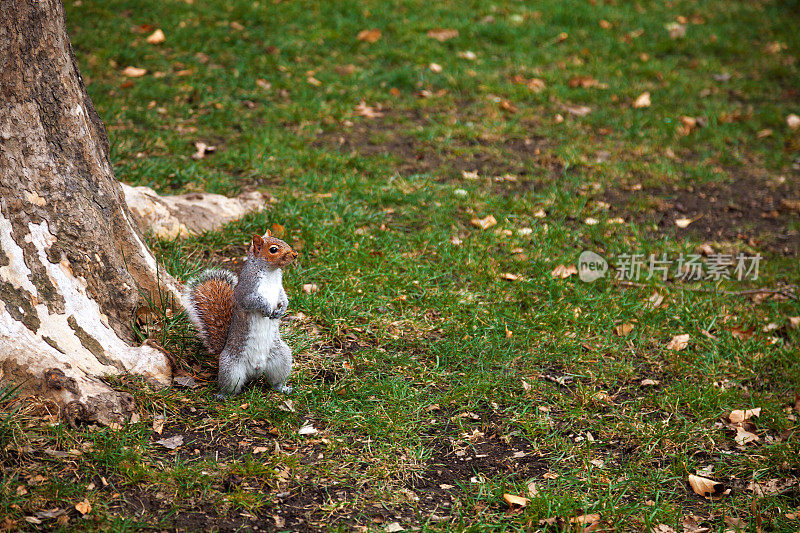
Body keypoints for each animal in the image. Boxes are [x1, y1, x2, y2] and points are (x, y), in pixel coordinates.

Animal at [183, 231, 298, 396]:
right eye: (273, 249)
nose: (295, 255)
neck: (271, 272)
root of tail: (255, 371)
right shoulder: (246, 291)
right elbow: (253, 301)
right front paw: (267, 308)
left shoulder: (280, 289)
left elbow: (284, 298)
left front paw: (281, 310)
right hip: (231, 367)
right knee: (231, 386)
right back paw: (223, 395)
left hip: (282, 356)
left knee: (276, 380)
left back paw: (283, 388)